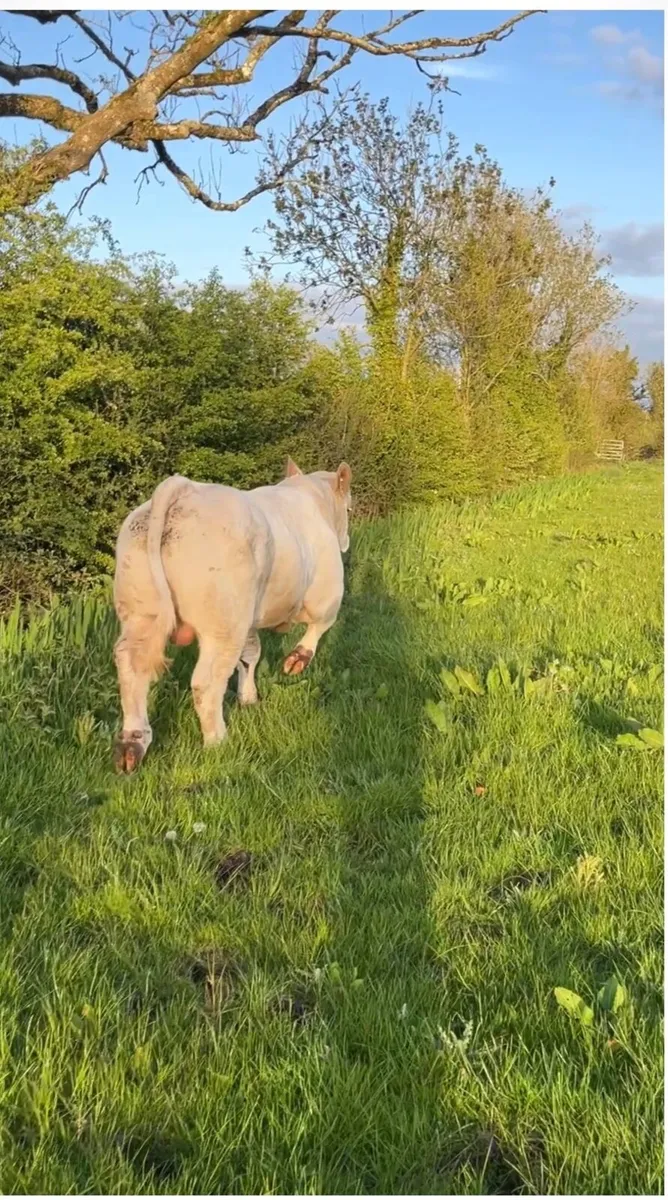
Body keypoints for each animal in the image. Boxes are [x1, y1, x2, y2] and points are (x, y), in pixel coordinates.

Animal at [112, 458, 352, 773]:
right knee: (205, 682)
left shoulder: (248, 620)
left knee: (131, 667)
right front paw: (297, 659)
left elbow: (250, 655)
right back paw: (217, 742)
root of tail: (184, 488)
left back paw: (132, 746)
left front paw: (248, 699)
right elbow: (321, 624)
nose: (346, 541)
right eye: (350, 509)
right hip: (222, 625)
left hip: (141, 612)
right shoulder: (328, 591)